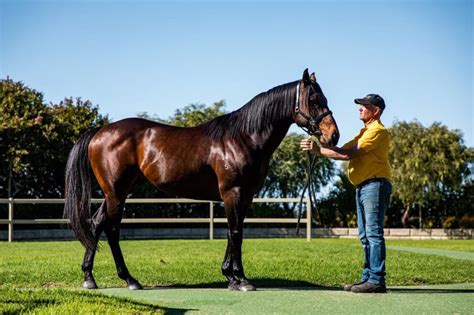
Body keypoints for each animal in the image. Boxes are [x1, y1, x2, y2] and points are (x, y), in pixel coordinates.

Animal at [64, 69, 336, 292]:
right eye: (313, 100)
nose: (333, 135)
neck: (243, 138)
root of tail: (100, 131)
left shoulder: (244, 196)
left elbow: (232, 232)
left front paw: (230, 277)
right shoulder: (233, 192)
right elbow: (236, 232)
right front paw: (242, 280)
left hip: (115, 192)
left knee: (96, 224)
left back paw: (89, 278)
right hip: (116, 193)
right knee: (111, 229)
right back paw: (130, 280)